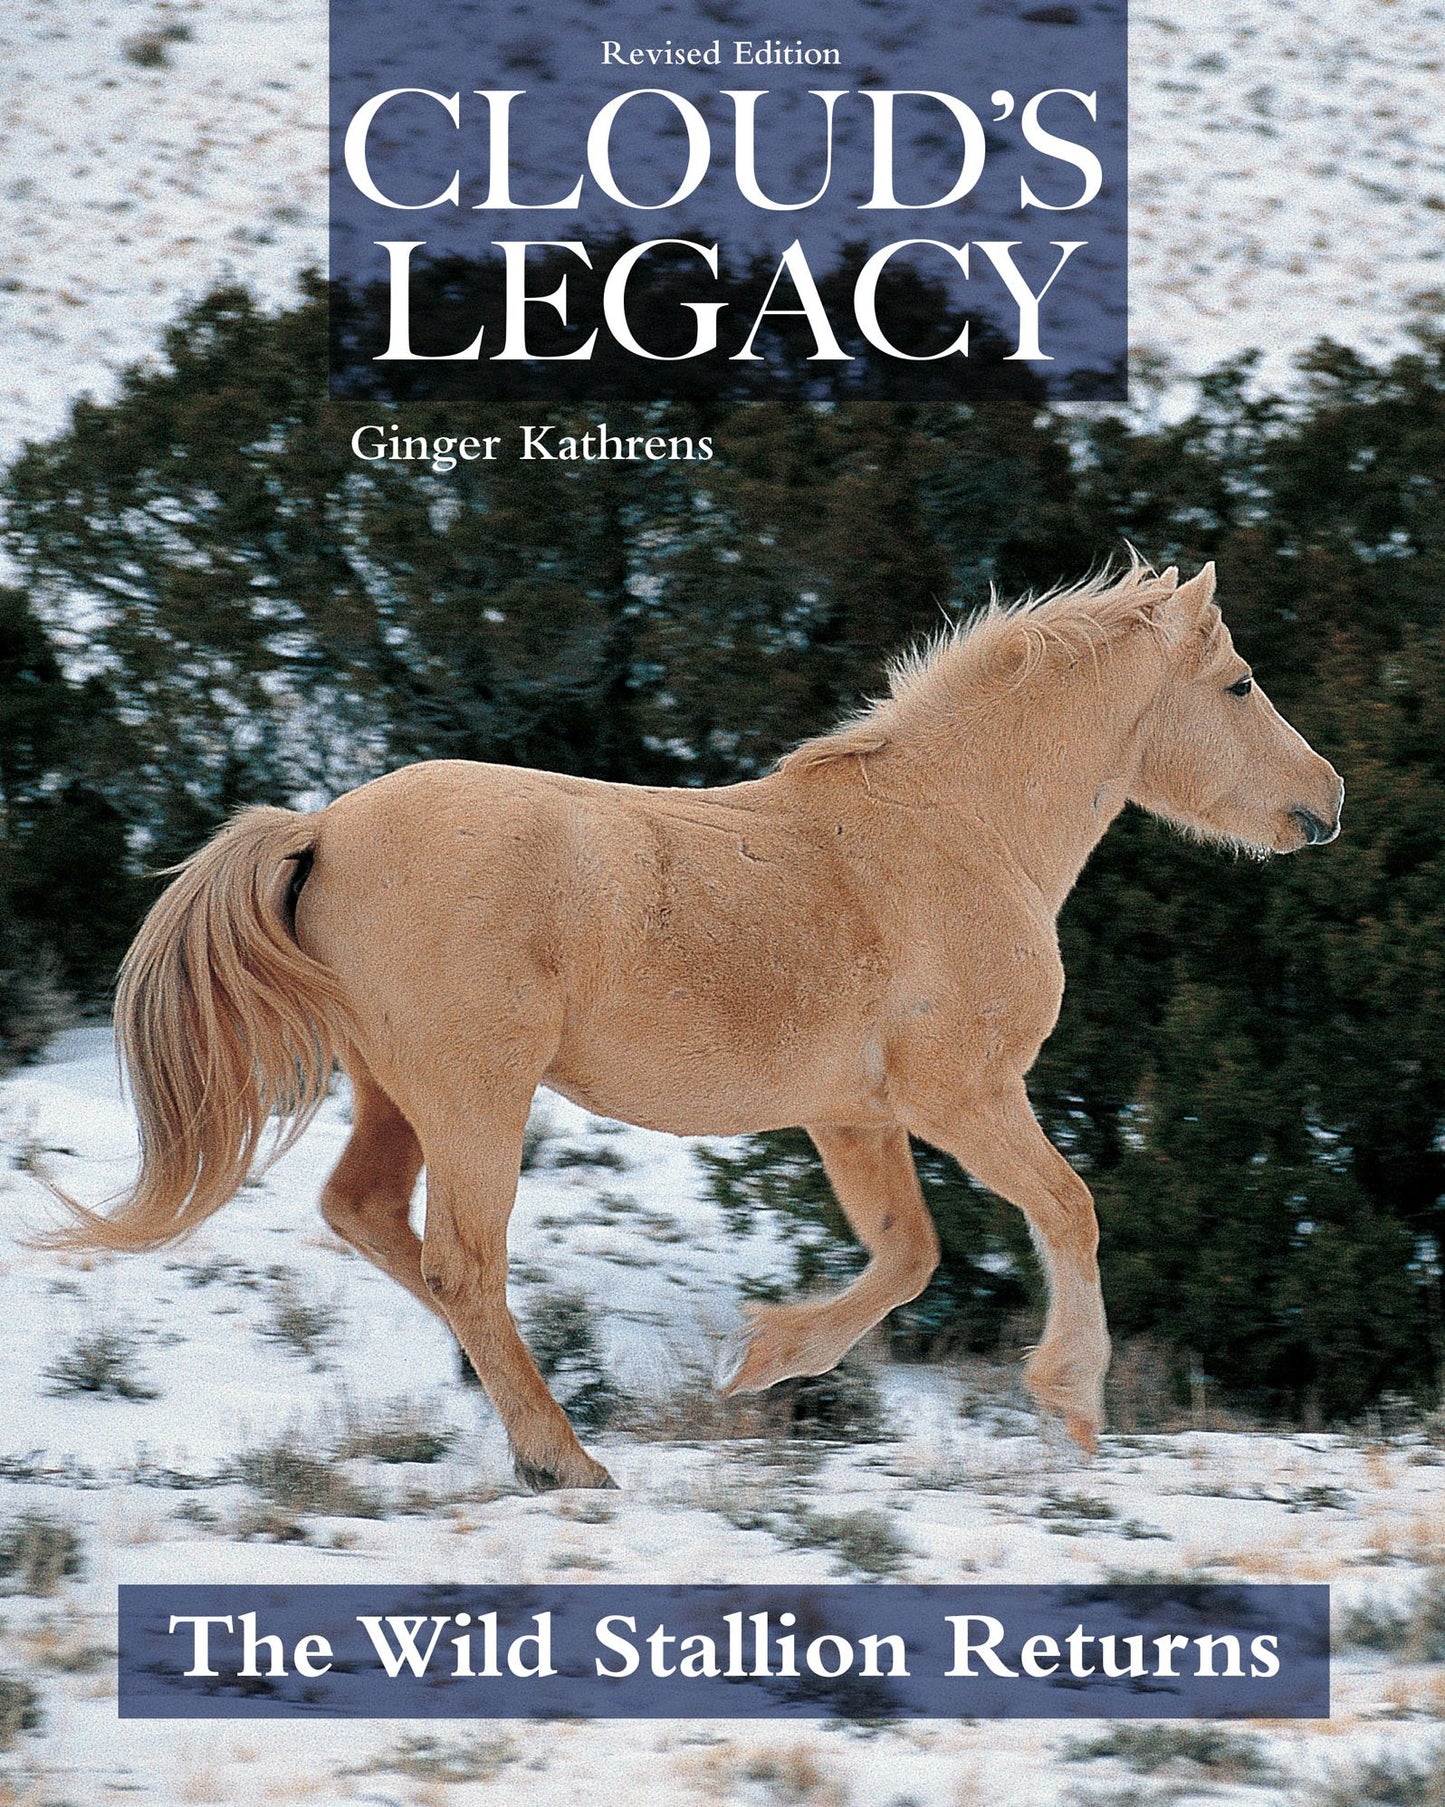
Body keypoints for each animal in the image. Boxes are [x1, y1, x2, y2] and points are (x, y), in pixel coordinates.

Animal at [47, 562, 1343, 1490]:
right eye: (1238, 684)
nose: (1325, 801)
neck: (954, 831)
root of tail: (322, 827)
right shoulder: (961, 1095)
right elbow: (1066, 1210)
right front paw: (1070, 1406)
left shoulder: (850, 1114)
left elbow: (906, 1254)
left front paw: (762, 1362)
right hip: (476, 1093)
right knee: (462, 1259)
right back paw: (563, 1459)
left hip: (396, 1090)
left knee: (375, 1221)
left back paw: (544, 1427)